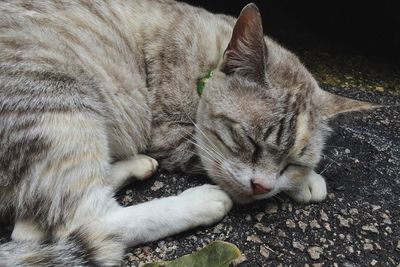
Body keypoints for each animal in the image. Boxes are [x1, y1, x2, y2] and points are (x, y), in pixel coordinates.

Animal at [0, 0, 372, 266]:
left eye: (291, 162)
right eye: (249, 141)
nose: (262, 187)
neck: (208, 56)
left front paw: (299, 180)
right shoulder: (174, 136)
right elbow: (212, 164)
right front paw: (307, 182)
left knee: (33, 226)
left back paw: (134, 166)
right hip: (60, 100)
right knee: (89, 220)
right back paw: (200, 202)